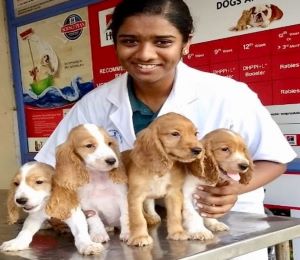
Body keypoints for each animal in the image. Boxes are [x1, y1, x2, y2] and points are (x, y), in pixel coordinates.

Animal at [123, 111, 205, 246]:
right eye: (175, 134)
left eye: (195, 134)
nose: (198, 150)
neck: (163, 170)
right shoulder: (135, 195)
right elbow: (137, 218)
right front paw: (140, 237)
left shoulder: (174, 193)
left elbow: (175, 215)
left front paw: (177, 232)